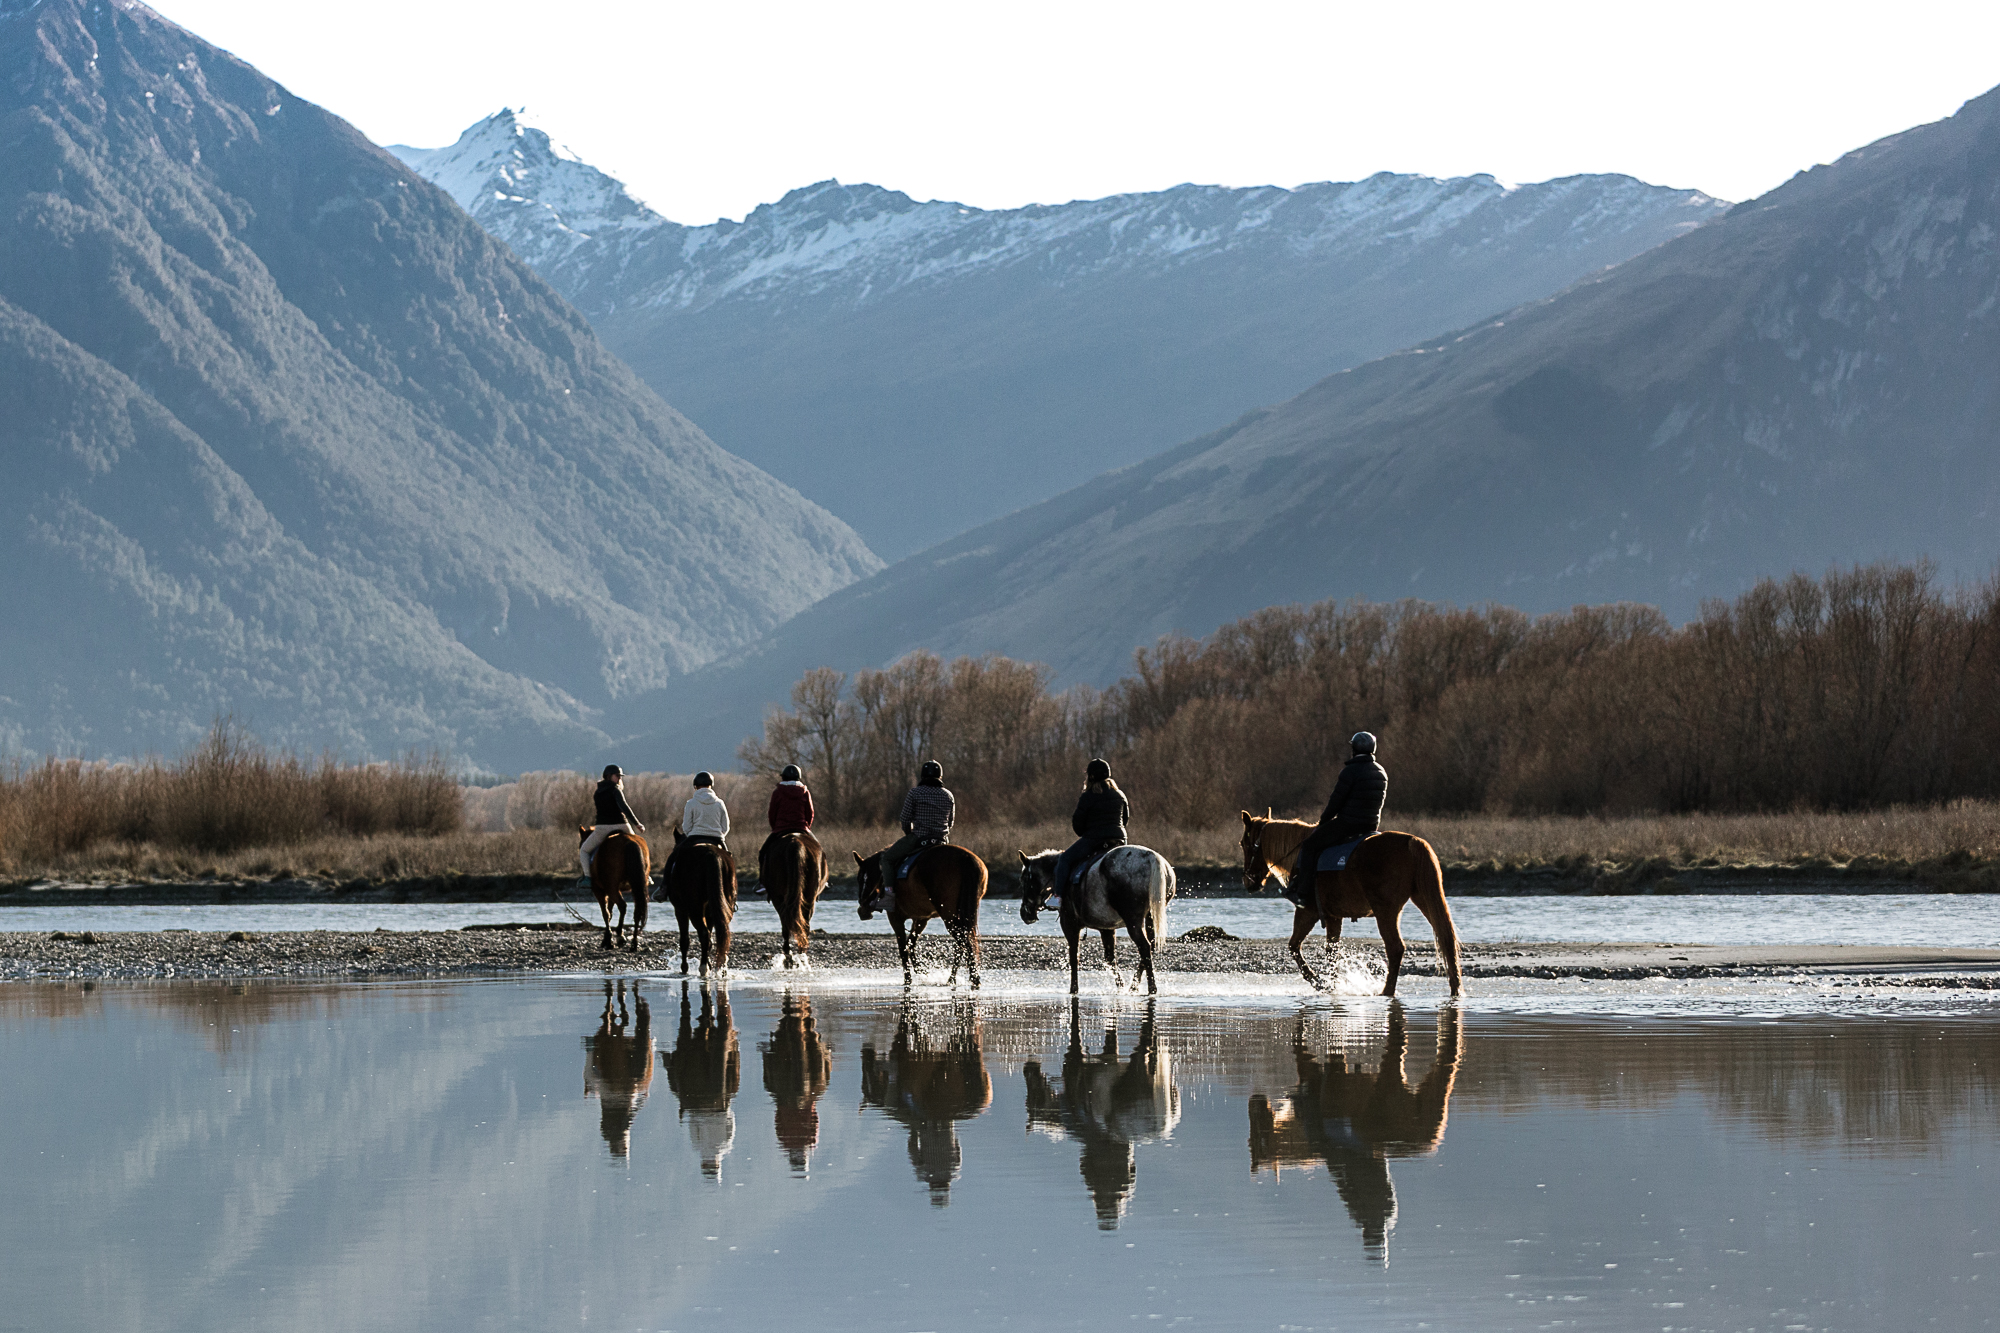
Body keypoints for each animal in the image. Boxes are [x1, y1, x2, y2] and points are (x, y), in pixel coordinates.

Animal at [668, 824, 740, 972]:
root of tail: (711, 853)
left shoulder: (680, 910)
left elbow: (684, 939)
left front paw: (684, 967)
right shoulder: (710, 911)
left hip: (694, 909)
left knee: (703, 934)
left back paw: (703, 968)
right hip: (724, 904)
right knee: (720, 932)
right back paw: (720, 966)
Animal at [764, 832, 828, 964]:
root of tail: (795, 842)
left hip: (780, 897)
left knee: (787, 923)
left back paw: (789, 955)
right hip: (808, 897)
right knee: (803, 924)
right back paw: (800, 953)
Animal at [852, 840, 992, 984]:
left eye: (862, 879)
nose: (862, 910)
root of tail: (966, 858)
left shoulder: (895, 918)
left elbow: (903, 948)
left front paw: (908, 979)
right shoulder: (921, 919)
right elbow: (911, 945)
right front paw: (922, 971)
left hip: (949, 916)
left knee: (964, 941)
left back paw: (972, 978)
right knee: (962, 943)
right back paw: (953, 978)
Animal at [1016, 844, 1168, 992]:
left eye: (1023, 880)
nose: (1025, 913)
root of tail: (1151, 857)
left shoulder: (1069, 924)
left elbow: (1074, 957)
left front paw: (1074, 989)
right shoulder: (1106, 928)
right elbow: (1109, 959)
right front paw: (1121, 986)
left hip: (1133, 921)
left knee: (1144, 947)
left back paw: (1151, 987)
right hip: (1149, 918)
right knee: (1150, 946)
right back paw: (1134, 985)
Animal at [1240, 804, 1464, 992]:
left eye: (1243, 844)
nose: (1248, 882)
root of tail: (1412, 842)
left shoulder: (1307, 911)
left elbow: (1294, 947)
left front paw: (1318, 981)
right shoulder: (1333, 916)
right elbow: (1332, 951)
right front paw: (1332, 984)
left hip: (1386, 912)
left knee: (1395, 948)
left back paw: (1386, 991)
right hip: (1424, 900)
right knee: (1446, 939)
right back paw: (1455, 989)